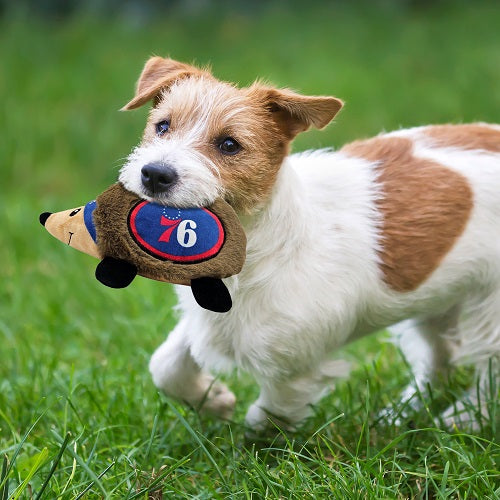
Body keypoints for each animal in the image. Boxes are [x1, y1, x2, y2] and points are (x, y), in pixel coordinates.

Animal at [118, 56, 500, 432]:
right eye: (162, 126)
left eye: (229, 145)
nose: (154, 174)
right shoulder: (208, 321)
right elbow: (165, 365)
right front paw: (213, 400)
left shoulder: (296, 367)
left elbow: (267, 417)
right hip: (436, 300)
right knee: (440, 357)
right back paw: (402, 415)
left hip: (489, 310)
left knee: (488, 371)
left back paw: (465, 419)